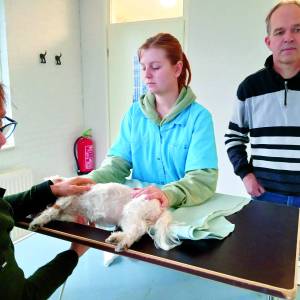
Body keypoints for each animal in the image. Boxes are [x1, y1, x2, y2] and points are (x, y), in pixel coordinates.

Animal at [29, 182, 180, 252]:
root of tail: (161, 206)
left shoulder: (69, 195)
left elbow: (51, 211)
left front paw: (38, 221)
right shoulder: (73, 216)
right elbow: (61, 215)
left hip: (131, 210)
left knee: (138, 229)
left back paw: (122, 243)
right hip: (126, 218)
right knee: (136, 232)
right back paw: (117, 238)